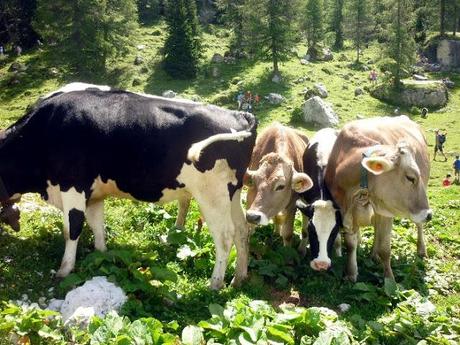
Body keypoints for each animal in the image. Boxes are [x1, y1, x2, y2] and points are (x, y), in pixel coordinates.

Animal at [0, 84, 256, 288]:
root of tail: (240, 114)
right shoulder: (94, 194)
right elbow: (97, 225)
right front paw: (102, 254)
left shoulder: (73, 185)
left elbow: (72, 228)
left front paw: (65, 269)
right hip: (232, 192)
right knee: (242, 229)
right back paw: (239, 278)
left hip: (212, 196)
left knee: (225, 236)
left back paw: (215, 284)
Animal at [294, 127, 342, 270]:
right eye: (312, 230)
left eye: (334, 231)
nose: (321, 264)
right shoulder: (305, 202)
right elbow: (303, 230)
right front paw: (301, 250)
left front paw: (338, 253)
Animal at [328, 115, 432, 282]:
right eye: (410, 178)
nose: (429, 215)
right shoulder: (344, 210)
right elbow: (351, 244)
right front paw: (351, 272)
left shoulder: (386, 211)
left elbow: (385, 249)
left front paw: (390, 280)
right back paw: (373, 254)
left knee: (419, 225)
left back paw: (421, 249)